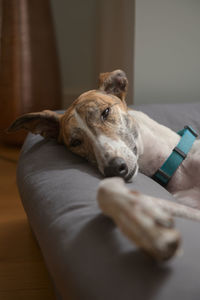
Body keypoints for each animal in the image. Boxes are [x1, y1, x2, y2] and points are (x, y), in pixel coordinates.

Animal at [9, 69, 200, 258]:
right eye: (75, 142)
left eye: (106, 112)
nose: (114, 168)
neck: (175, 163)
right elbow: (106, 190)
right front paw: (148, 229)